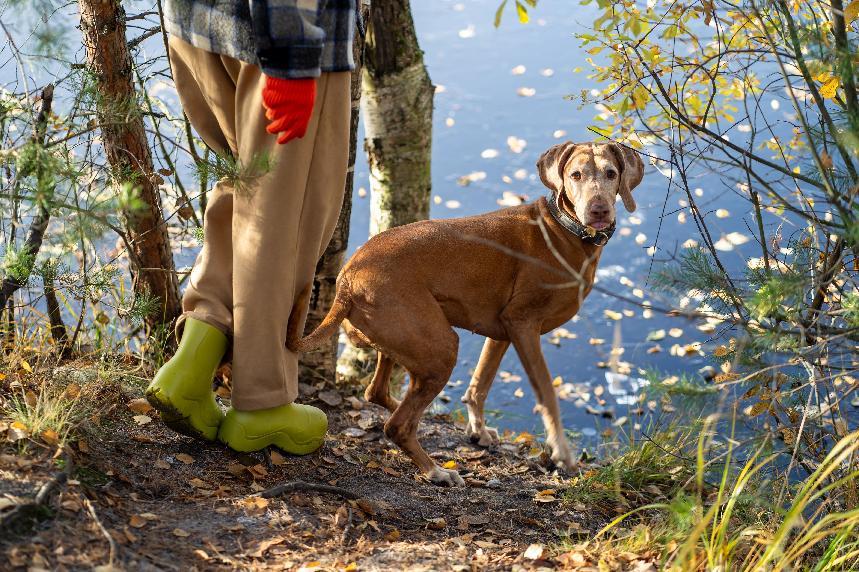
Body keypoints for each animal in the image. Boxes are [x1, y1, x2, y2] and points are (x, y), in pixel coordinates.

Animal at [288, 141, 644, 484]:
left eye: (611, 173)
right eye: (575, 175)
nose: (599, 210)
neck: (564, 230)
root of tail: (347, 278)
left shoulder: (502, 331)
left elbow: (479, 384)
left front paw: (478, 431)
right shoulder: (523, 324)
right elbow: (546, 393)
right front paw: (562, 451)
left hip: (405, 342)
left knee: (377, 392)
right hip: (440, 346)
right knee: (397, 425)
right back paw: (435, 471)